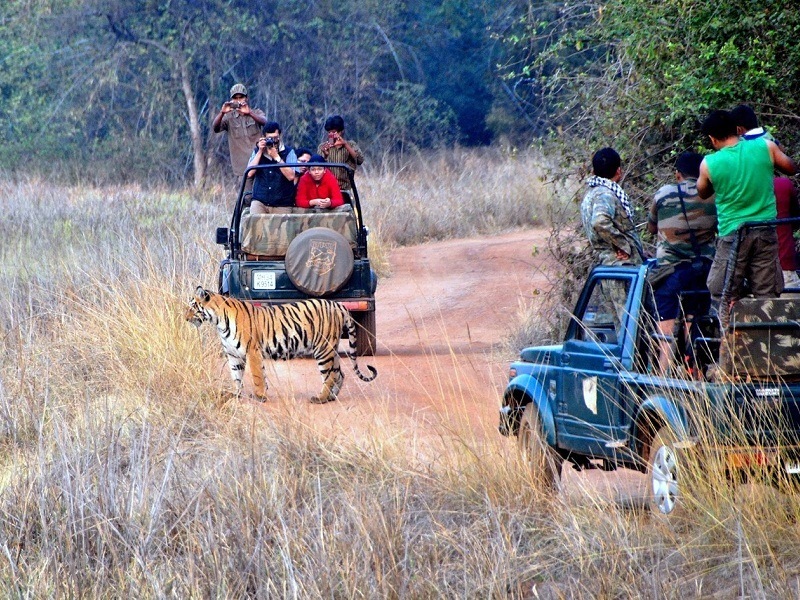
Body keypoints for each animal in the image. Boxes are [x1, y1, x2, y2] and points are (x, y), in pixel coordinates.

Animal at [186, 286, 376, 404]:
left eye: (193, 307)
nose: (186, 318)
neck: (218, 321)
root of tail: (338, 305)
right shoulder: (233, 355)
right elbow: (237, 376)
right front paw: (236, 394)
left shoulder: (252, 351)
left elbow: (256, 376)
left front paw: (259, 396)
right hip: (330, 348)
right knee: (339, 373)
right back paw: (331, 397)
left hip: (323, 349)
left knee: (329, 375)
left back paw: (320, 398)